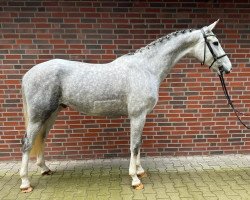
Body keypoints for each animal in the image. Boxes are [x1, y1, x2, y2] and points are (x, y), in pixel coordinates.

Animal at [20, 20, 232, 192]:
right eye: (215, 43)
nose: (228, 68)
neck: (146, 68)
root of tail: (28, 74)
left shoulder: (141, 116)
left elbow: (138, 144)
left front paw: (140, 170)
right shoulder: (137, 115)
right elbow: (134, 145)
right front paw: (135, 179)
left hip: (52, 113)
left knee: (42, 138)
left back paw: (45, 169)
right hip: (38, 115)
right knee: (27, 143)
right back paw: (25, 183)